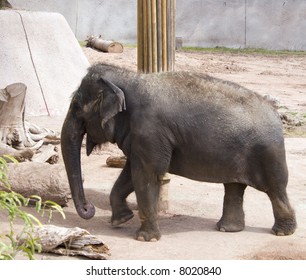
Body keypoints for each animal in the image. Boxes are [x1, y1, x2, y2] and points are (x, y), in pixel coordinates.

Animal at [60, 63, 296, 241]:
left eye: (77, 107)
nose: (88, 208)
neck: (130, 78)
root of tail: (276, 115)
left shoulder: (150, 131)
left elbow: (146, 174)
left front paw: (145, 238)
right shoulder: (142, 138)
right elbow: (131, 171)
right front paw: (121, 220)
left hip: (268, 153)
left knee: (276, 189)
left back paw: (282, 232)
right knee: (234, 186)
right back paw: (227, 229)